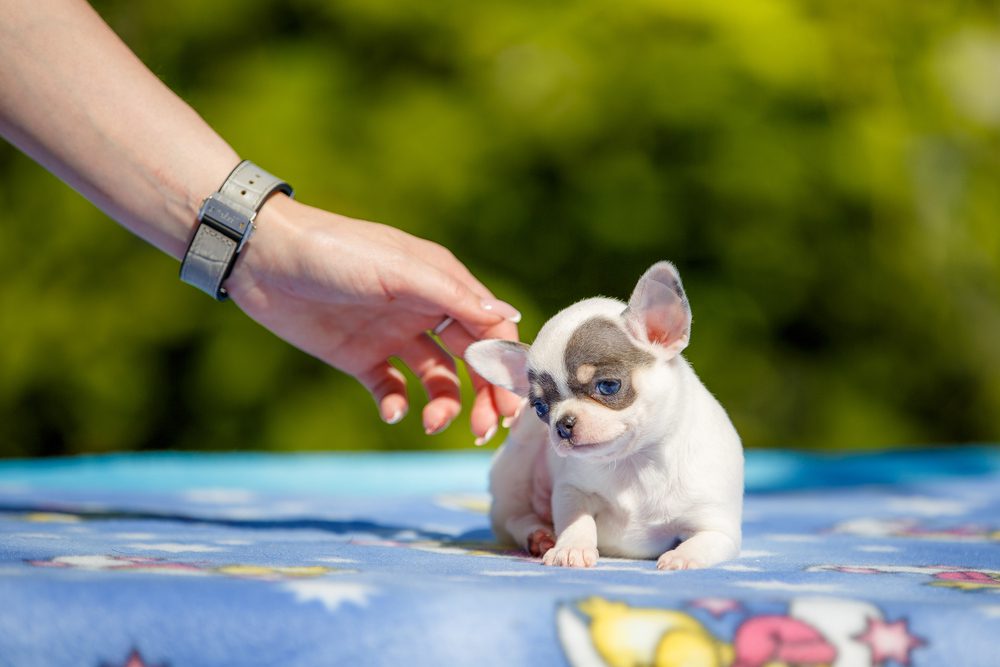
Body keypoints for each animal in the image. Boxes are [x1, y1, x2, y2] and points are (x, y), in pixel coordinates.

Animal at [462, 260, 744, 568]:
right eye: (540, 408)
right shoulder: (571, 490)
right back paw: (538, 535)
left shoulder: (718, 529)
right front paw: (570, 548)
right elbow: (577, 520)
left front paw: (682, 557)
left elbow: (703, 542)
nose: (563, 424)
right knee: (514, 518)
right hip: (513, 472)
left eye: (608, 386)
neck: (635, 464)